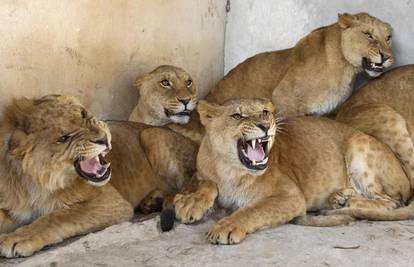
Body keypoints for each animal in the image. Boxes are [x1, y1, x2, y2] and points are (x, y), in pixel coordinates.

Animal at [0, 95, 197, 258]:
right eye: (63, 138)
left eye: (83, 114)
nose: (103, 138)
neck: (34, 183)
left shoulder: (113, 203)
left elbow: (58, 217)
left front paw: (17, 238)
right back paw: (153, 201)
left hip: (151, 134)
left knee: (188, 184)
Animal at [170, 98, 414, 245]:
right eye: (237, 116)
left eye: (265, 112)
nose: (265, 125)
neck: (230, 170)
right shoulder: (202, 173)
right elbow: (205, 183)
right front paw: (190, 202)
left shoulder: (291, 196)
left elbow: (254, 210)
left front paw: (227, 226)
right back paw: (338, 198)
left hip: (358, 142)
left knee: (391, 202)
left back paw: (347, 203)